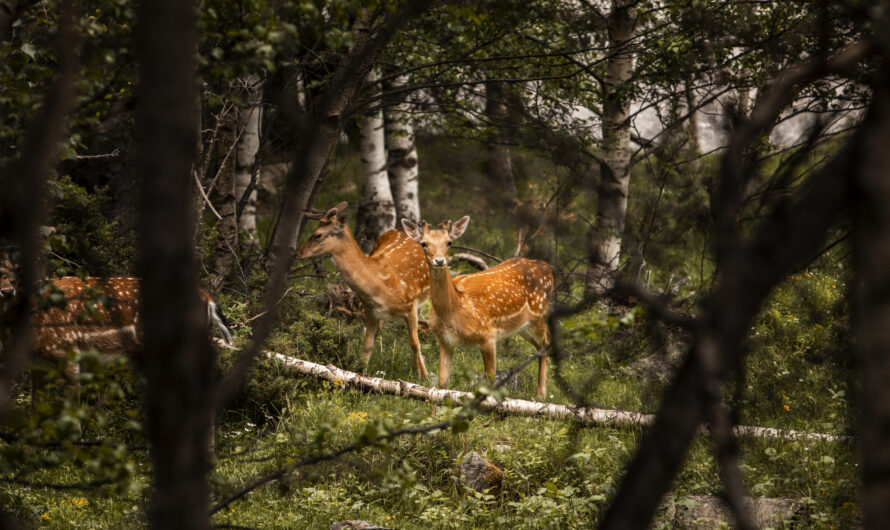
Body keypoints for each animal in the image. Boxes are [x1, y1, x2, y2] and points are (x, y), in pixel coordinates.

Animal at [296, 200, 432, 378]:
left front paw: (424, 376)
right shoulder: (370, 309)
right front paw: (361, 373)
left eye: (318, 234)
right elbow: (367, 343)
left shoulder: (410, 306)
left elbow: (415, 343)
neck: (380, 285)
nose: (299, 252)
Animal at [398, 214, 552, 396]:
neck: (453, 311)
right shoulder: (445, 341)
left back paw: (541, 394)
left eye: (449, 242)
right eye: (423, 243)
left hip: (539, 315)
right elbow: (442, 384)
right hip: (522, 327)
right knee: (540, 347)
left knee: (547, 344)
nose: (439, 260)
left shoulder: (488, 335)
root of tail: (548, 268)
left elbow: (491, 381)